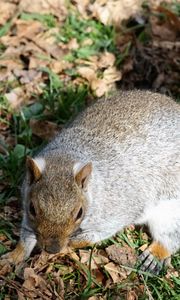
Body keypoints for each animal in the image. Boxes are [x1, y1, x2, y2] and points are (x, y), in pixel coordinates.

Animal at [1, 89, 180, 274]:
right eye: (32, 208)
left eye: (79, 212)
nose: (52, 249)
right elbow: (26, 234)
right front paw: (15, 255)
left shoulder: (119, 210)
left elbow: (100, 233)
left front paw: (75, 241)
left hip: (171, 209)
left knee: (171, 236)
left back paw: (155, 255)